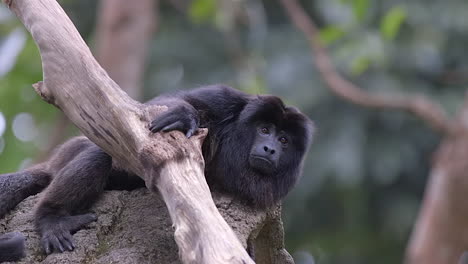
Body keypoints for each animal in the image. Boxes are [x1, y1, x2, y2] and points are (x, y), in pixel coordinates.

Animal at [0, 84, 314, 256]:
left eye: (284, 140)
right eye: (264, 130)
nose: (270, 148)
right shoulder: (225, 99)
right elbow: (148, 112)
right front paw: (184, 115)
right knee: (99, 155)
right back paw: (51, 218)